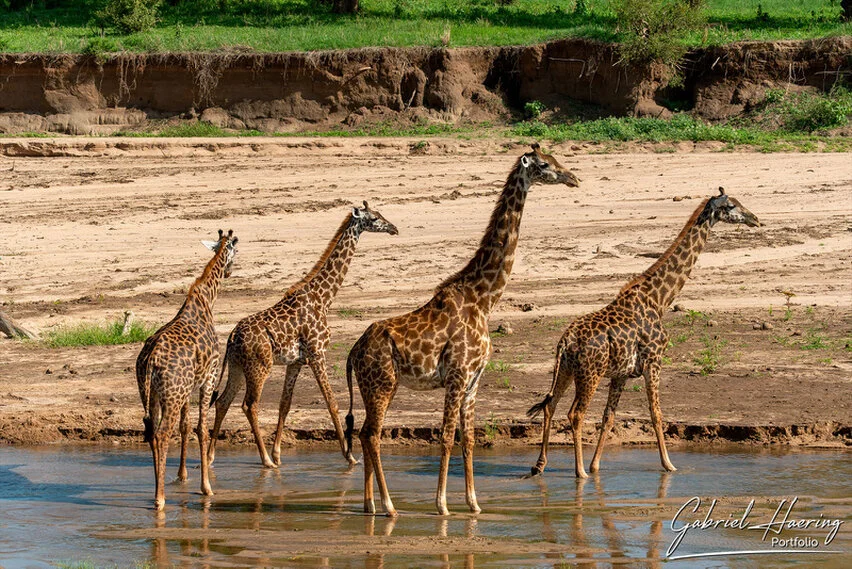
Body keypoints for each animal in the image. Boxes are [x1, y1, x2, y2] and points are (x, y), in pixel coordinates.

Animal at [136, 229, 238, 511]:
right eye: (236, 251)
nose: (230, 272)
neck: (206, 300)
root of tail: (150, 360)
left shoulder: (188, 387)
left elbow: (186, 425)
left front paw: (182, 476)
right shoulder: (208, 378)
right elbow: (201, 428)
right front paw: (206, 488)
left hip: (153, 394)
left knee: (152, 433)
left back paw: (157, 489)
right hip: (172, 394)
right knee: (161, 435)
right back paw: (159, 499)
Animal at [207, 203, 398, 469]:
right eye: (373, 218)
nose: (394, 228)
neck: (324, 298)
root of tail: (232, 337)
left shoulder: (296, 361)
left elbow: (284, 405)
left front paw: (278, 452)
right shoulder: (317, 354)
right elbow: (332, 403)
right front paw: (349, 456)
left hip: (237, 366)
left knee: (223, 401)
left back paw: (211, 457)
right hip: (259, 367)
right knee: (249, 405)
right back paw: (265, 460)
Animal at [344, 144, 579, 516]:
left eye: (557, 160)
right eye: (544, 165)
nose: (573, 178)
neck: (484, 298)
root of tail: (353, 352)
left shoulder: (473, 381)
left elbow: (468, 438)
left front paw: (473, 503)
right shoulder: (457, 375)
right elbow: (446, 436)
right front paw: (441, 504)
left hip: (378, 387)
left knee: (366, 433)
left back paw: (370, 505)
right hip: (382, 384)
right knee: (371, 434)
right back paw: (389, 505)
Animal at [528, 188, 761, 478]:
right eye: (730, 206)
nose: (755, 219)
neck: (659, 299)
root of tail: (566, 342)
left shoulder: (621, 374)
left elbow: (609, 416)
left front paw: (596, 466)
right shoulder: (654, 361)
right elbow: (656, 413)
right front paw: (669, 464)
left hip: (567, 370)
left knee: (550, 405)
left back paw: (540, 464)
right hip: (590, 373)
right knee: (576, 414)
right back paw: (579, 472)